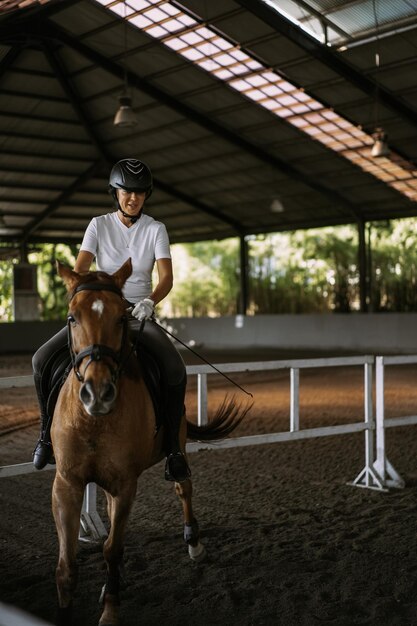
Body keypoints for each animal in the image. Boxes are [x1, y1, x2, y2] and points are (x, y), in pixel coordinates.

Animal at [50, 258, 249, 624]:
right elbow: (67, 565)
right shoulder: (67, 483)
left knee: (183, 487)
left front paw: (110, 610)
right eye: (72, 318)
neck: (94, 419)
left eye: (121, 317)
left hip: (177, 444)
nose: (97, 393)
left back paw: (193, 544)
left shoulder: (127, 484)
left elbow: (112, 549)